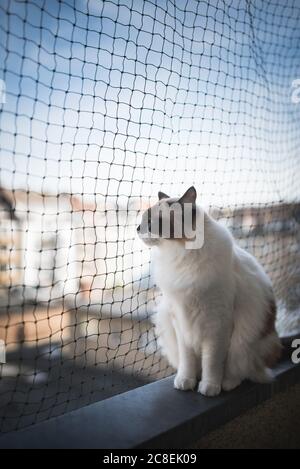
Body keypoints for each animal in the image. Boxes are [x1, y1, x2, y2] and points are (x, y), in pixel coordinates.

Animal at [137, 186, 282, 394]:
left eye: (150, 221)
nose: (137, 228)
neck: (181, 254)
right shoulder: (180, 320)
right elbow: (188, 361)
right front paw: (186, 381)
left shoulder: (217, 323)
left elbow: (212, 363)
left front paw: (210, 387)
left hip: (249, 341)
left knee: (243, 369)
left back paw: (228, 383)